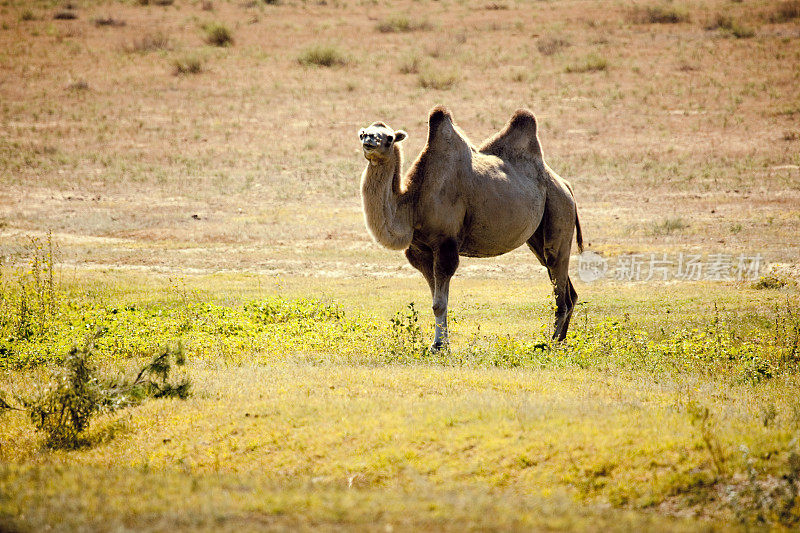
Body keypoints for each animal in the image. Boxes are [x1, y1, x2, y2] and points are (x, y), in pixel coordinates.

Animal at [360, 107, 584, 350]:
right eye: (363, 133)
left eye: (389, 138)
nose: (369, 140)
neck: (413, 205)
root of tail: (566, 186)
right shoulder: (420, 251)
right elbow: (436, 299)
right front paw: (440, 343)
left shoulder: (446, 243)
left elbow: (439, 303)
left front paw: (439, 346)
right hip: (537, 235)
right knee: (565, 287)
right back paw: (560, 340)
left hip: (559, 210)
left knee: (559, 283)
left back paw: (550, 344)